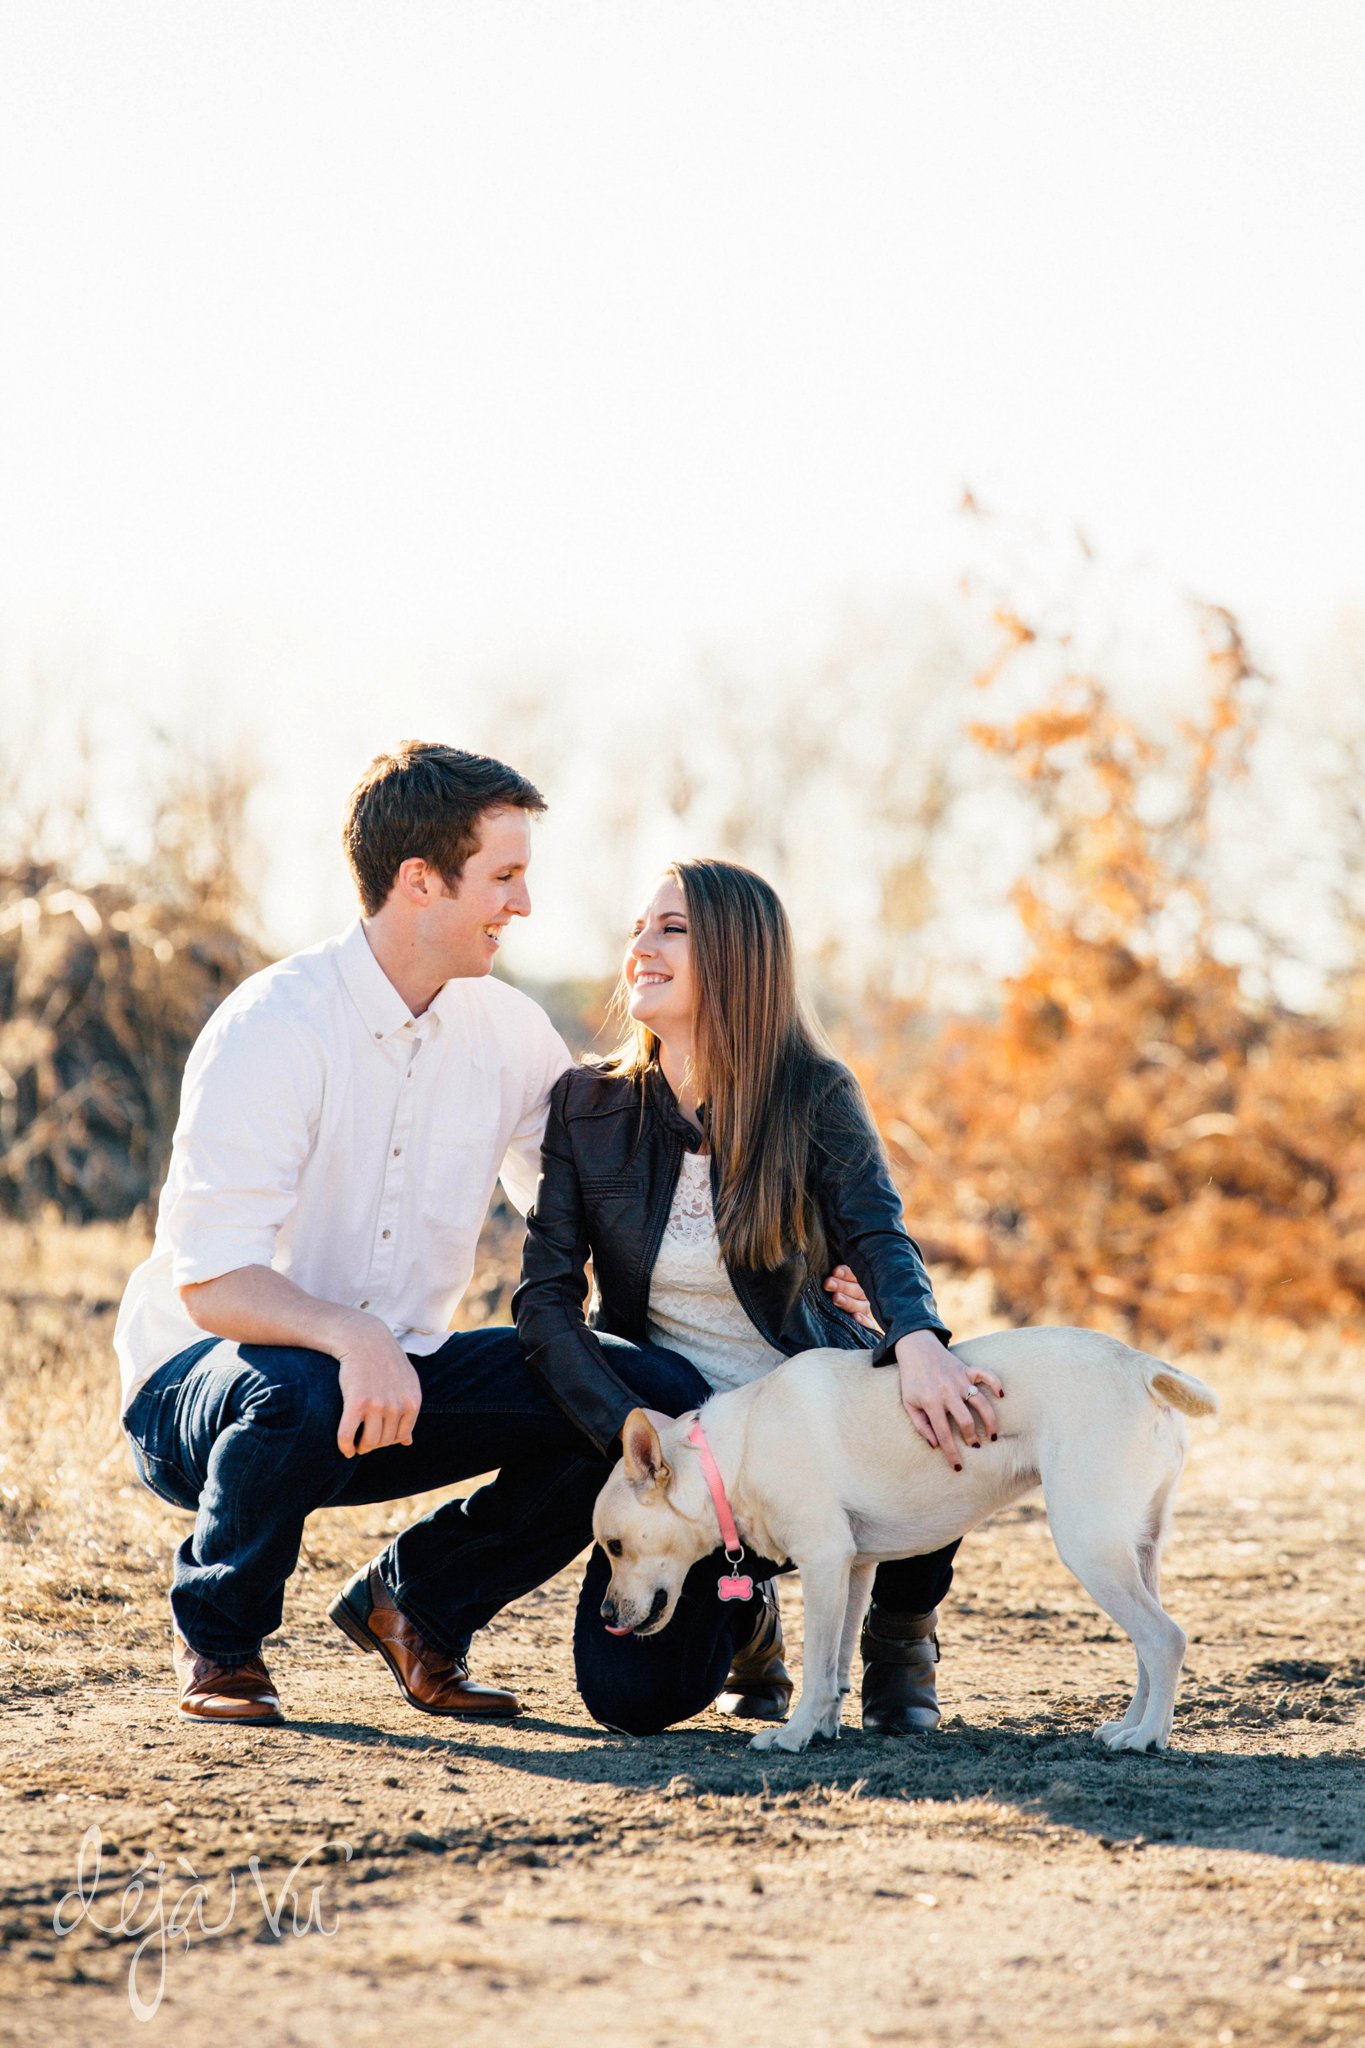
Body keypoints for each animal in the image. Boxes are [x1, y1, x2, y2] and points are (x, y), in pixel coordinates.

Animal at [593, 1335, 1219, 1753]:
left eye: (615, 1547)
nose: (605, 1615)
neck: (727, 1455)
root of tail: (1140, 1367)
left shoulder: (823, 1562)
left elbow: (818, 1665)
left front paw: (793, 1736)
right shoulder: (853, 1568)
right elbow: (837, 1665)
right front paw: (822, 1728)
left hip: (1090, 1548)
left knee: (1165, 1639)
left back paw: (1148, 1738)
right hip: (1135, 1552)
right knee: (1147, 1647)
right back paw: (1132, 1725)